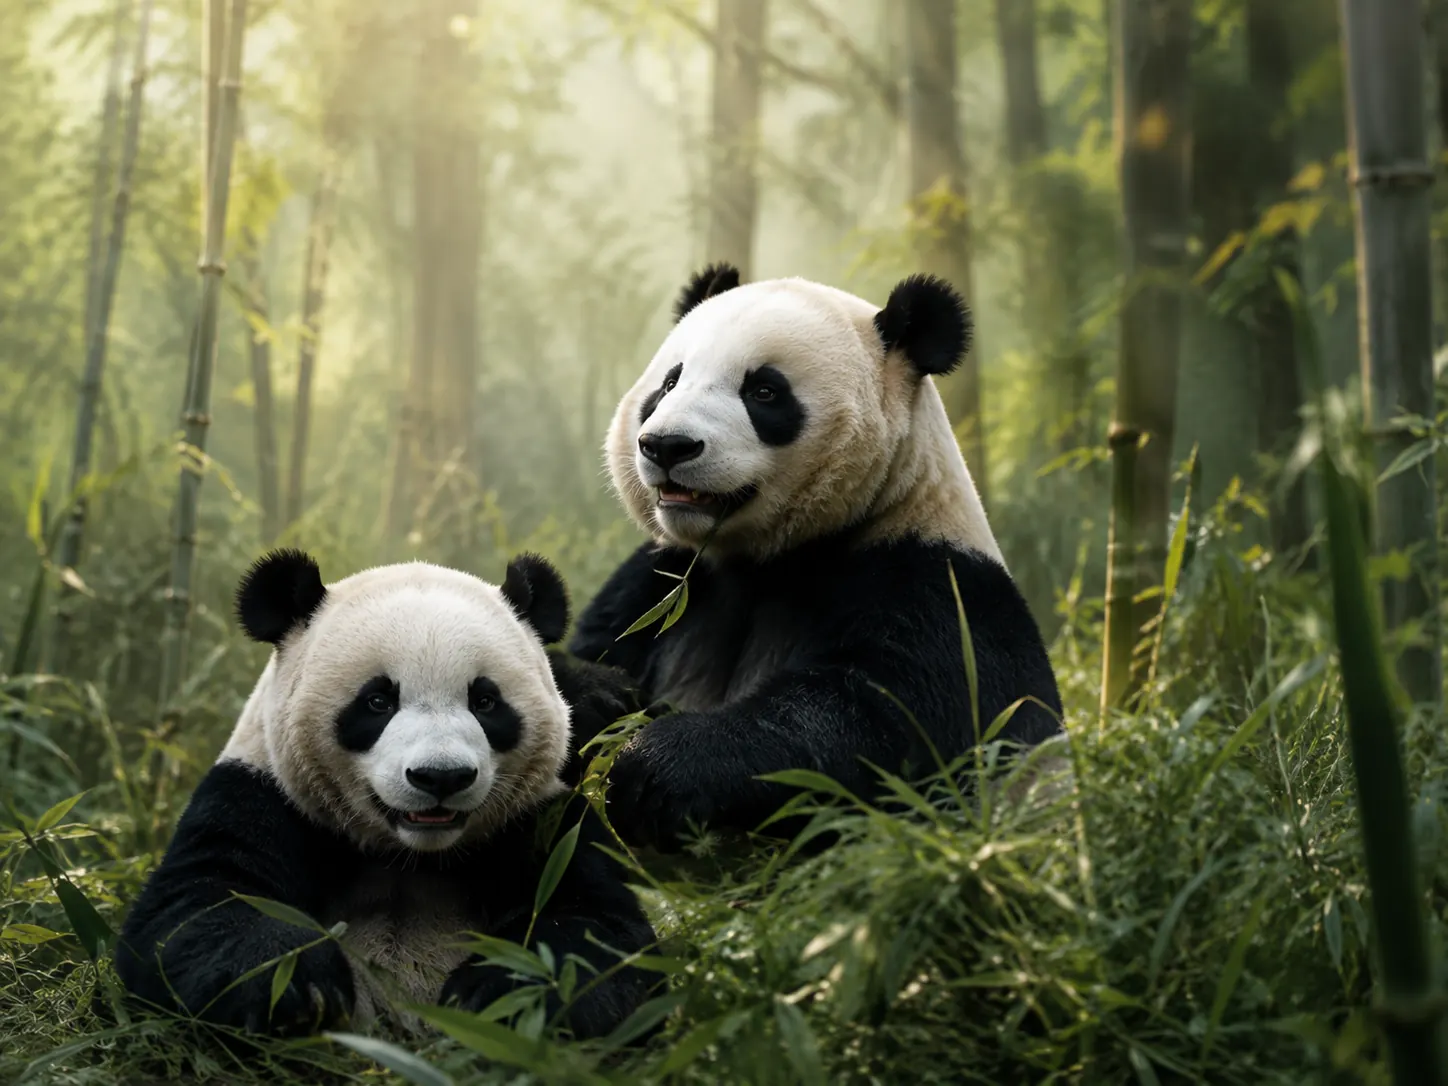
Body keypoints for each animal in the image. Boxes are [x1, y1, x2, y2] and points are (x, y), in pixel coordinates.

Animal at [115, 549, 655, 1039]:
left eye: (485, 701)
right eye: (377, 701)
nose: (441, 777)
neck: (410, 856)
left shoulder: (538, 817)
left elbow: (595, 924)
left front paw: (502, 994)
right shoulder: (262, 794)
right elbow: (198, 905)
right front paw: (293, 986)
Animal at [572, 264, 1065, 850]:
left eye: (764, 391)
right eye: (669, 383)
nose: (668, 445)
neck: (766, 559)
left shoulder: (933, 587)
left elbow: (876, 723)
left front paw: (652, 764)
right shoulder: (660, 584)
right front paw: (596, 700)